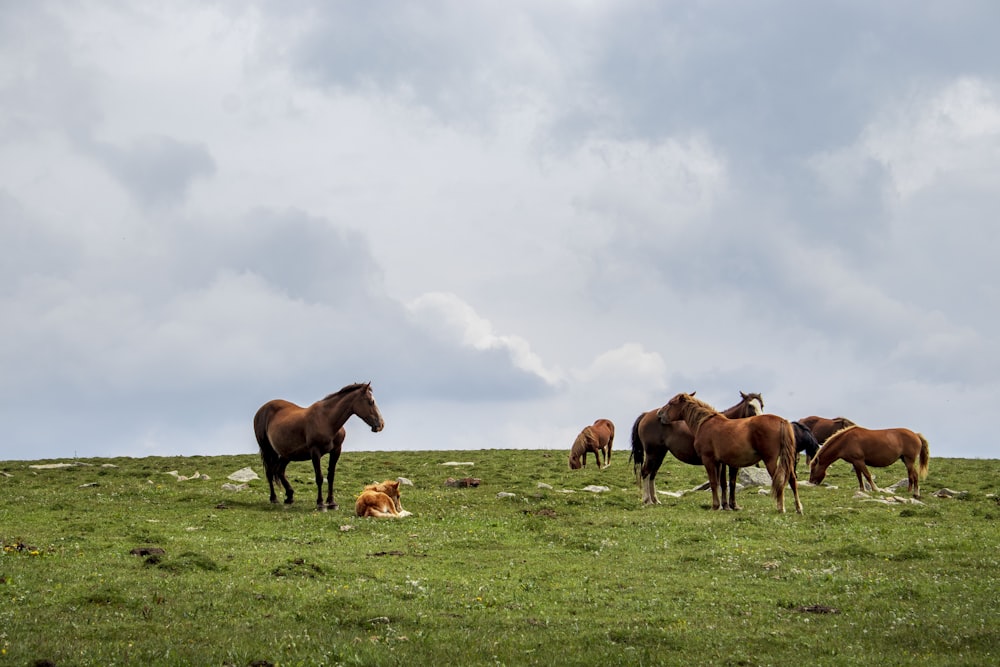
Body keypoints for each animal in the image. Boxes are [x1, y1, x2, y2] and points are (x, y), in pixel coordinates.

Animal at [252, 380, 384, 512]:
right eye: (371, 401)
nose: (381, 424)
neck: (327, 420)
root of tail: (261, 410)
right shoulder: (315, 452)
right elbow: (319, 478)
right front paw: (320, 504)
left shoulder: (336, 450)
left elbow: (331, 476)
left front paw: (332, 503)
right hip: (267, 449)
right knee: (270, 472)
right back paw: (274, 498)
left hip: (287, 454)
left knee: (279, 471)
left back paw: (289, 496)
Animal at [628, 392, 760, 506]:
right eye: (750, 405)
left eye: (761, 405)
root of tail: (646, 414)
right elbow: (720, 482)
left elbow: (723, 483)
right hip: (652, 453)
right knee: (645, 472)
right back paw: (647, 500)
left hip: (659, 454)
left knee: (652, 474)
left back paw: (655, 500)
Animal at [656, 394, 804, 516]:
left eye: (671, 403)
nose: (659, 414)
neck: (704, 422)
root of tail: (782, 421)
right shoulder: (721, 462)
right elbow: (723, 483)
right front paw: (724, 506)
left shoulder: (709, 460)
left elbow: (714, 482)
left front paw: (715, 506)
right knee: (792, 479)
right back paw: (798, 508)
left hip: (770, 460)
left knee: (780, 480)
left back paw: (781, 507)